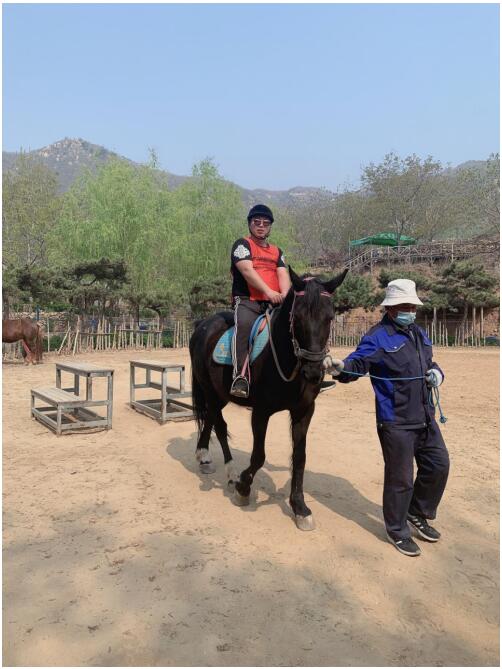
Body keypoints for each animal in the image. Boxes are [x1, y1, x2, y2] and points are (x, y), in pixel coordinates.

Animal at [190, 264, 348, 528]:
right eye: (297, 318)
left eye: (330, 317)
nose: (313, 372)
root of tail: (204, 323)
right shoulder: (261, 412)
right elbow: (258, 456)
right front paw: (243, 489)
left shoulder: (304, 410)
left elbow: (300, 457)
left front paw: (300, 508)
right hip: (209, 390)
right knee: (220, 426)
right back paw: (231, 474)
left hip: (219, 394)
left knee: (210, 419)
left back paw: (204, 457)